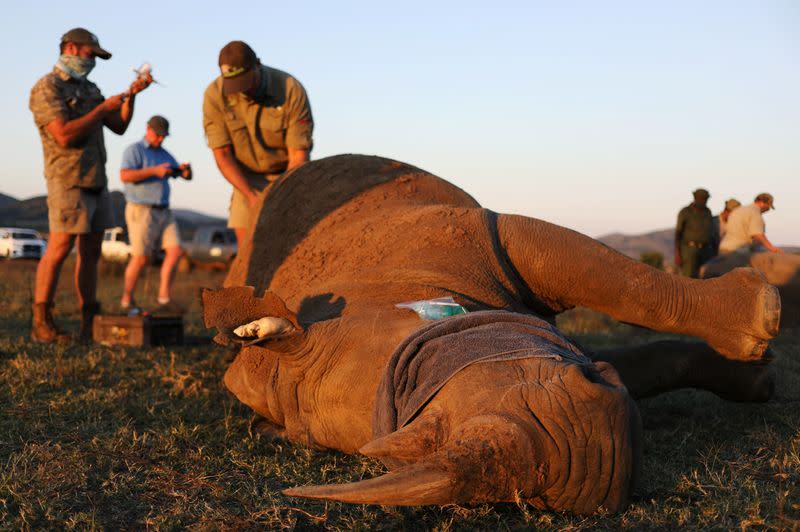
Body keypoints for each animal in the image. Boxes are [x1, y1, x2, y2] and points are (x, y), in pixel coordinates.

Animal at [202, 154, 780, 516]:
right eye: (395, 443)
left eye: (413, 371)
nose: (574, 463)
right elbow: (643, 359)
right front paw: (758, 378)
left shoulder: (483, 236)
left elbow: (626, 287)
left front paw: (762, 318)